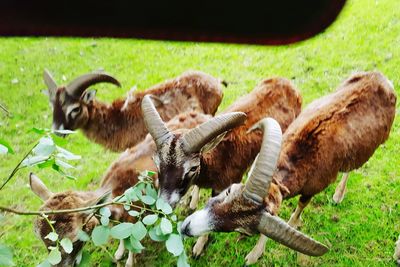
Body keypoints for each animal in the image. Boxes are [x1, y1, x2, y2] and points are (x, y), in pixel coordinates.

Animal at [183, 71, 396, 266]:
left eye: (242, 229)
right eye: (229, 191)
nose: (186, 228)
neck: (303, 154)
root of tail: (380, 77)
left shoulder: (312, 189)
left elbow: (300, 206)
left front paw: (255, 254)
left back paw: (338, 195)